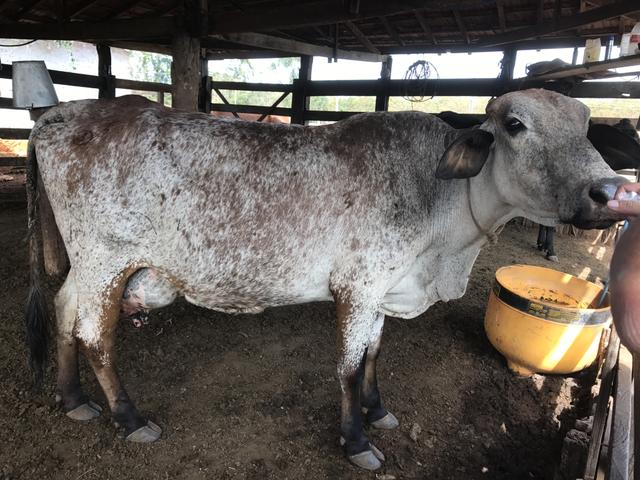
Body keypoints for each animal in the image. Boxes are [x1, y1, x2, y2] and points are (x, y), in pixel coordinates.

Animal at [26, 89, 626, 470]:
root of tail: (61, 114)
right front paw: (356, 439)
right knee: (94, 335)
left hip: (86, 266)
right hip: (106, 261)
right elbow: (348, 368)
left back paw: (73, 397)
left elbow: (374, 353)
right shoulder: (357, 287)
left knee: (62, 310)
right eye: (516, 125)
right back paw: (129, 418)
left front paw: (378, 411)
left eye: (586, 126)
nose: (611, 192)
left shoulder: (384, 289)